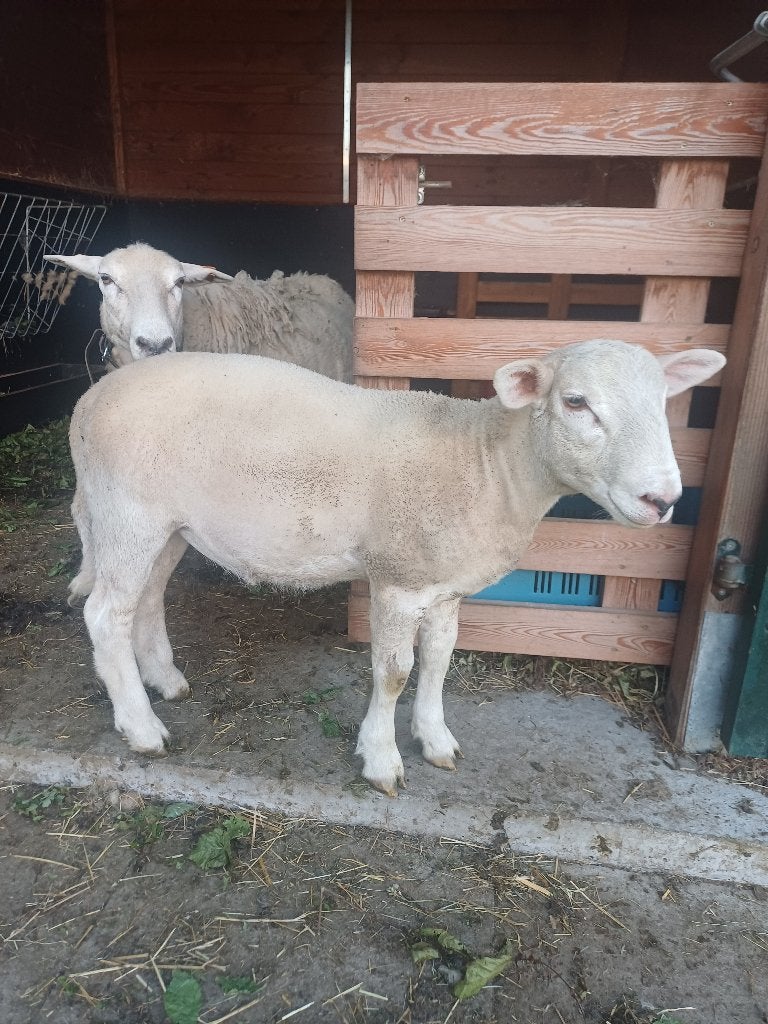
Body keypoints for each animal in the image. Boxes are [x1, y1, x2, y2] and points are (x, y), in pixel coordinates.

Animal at [67, 340, 725, 795]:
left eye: (663, 403)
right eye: (576, 402)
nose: (661, 499)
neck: (486, 464)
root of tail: (89, 401)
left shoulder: (445, 587)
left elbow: (438, 662)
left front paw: (435, 740)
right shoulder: (397, 579)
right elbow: (393, 673)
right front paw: (381, 759)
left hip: (167, 525)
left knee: (145, 600)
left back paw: (165, 681)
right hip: (126, 511)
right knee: (104, 615)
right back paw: (142, 726)